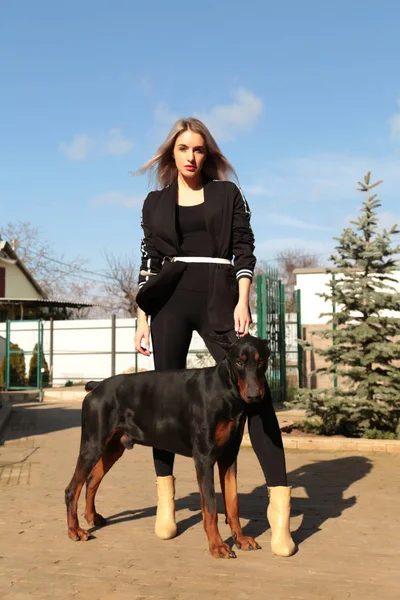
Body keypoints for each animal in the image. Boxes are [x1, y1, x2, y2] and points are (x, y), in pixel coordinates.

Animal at [65, 332, 268, 556]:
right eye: (239, 362)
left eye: (261, 361)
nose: (254, 396)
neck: (225, 390)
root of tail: (96, 387)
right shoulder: (204, 458)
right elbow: (211, 508)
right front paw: (217, 545)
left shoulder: (229, 456)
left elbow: (232, 503)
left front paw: (240, 538)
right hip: (93, 445)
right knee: (72, 489)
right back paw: (75, 530)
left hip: (113, 448)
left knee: (92, 480)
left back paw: (92, 517)